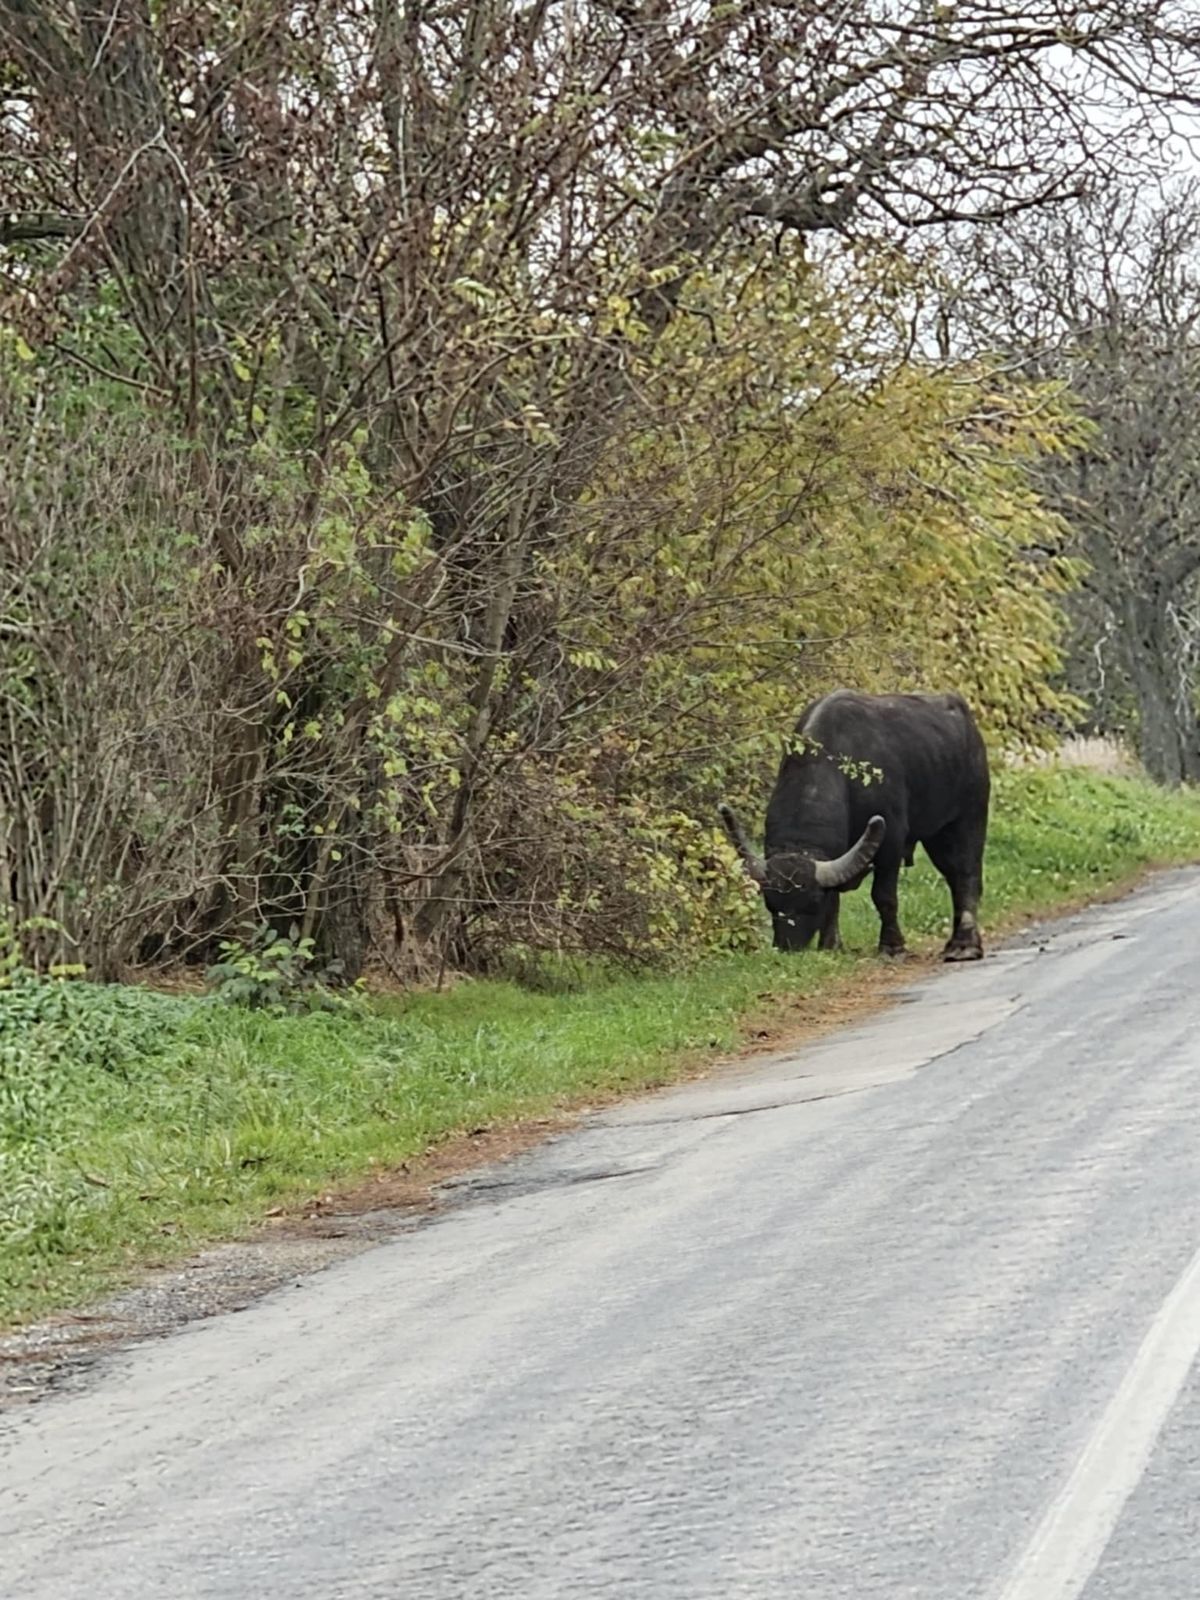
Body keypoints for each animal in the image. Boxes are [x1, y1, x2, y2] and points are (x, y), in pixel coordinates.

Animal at [720, 691, 992, 960]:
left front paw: (892, 947)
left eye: (813, 902)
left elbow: (883, 896)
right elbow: (835, 898)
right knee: (953, 876)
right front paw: (831, 944)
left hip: (968, 817)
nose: (788, 946)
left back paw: (964, 945)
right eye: (769, 902)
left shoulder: (891, 841)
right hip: (936, 835)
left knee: (966, 875)